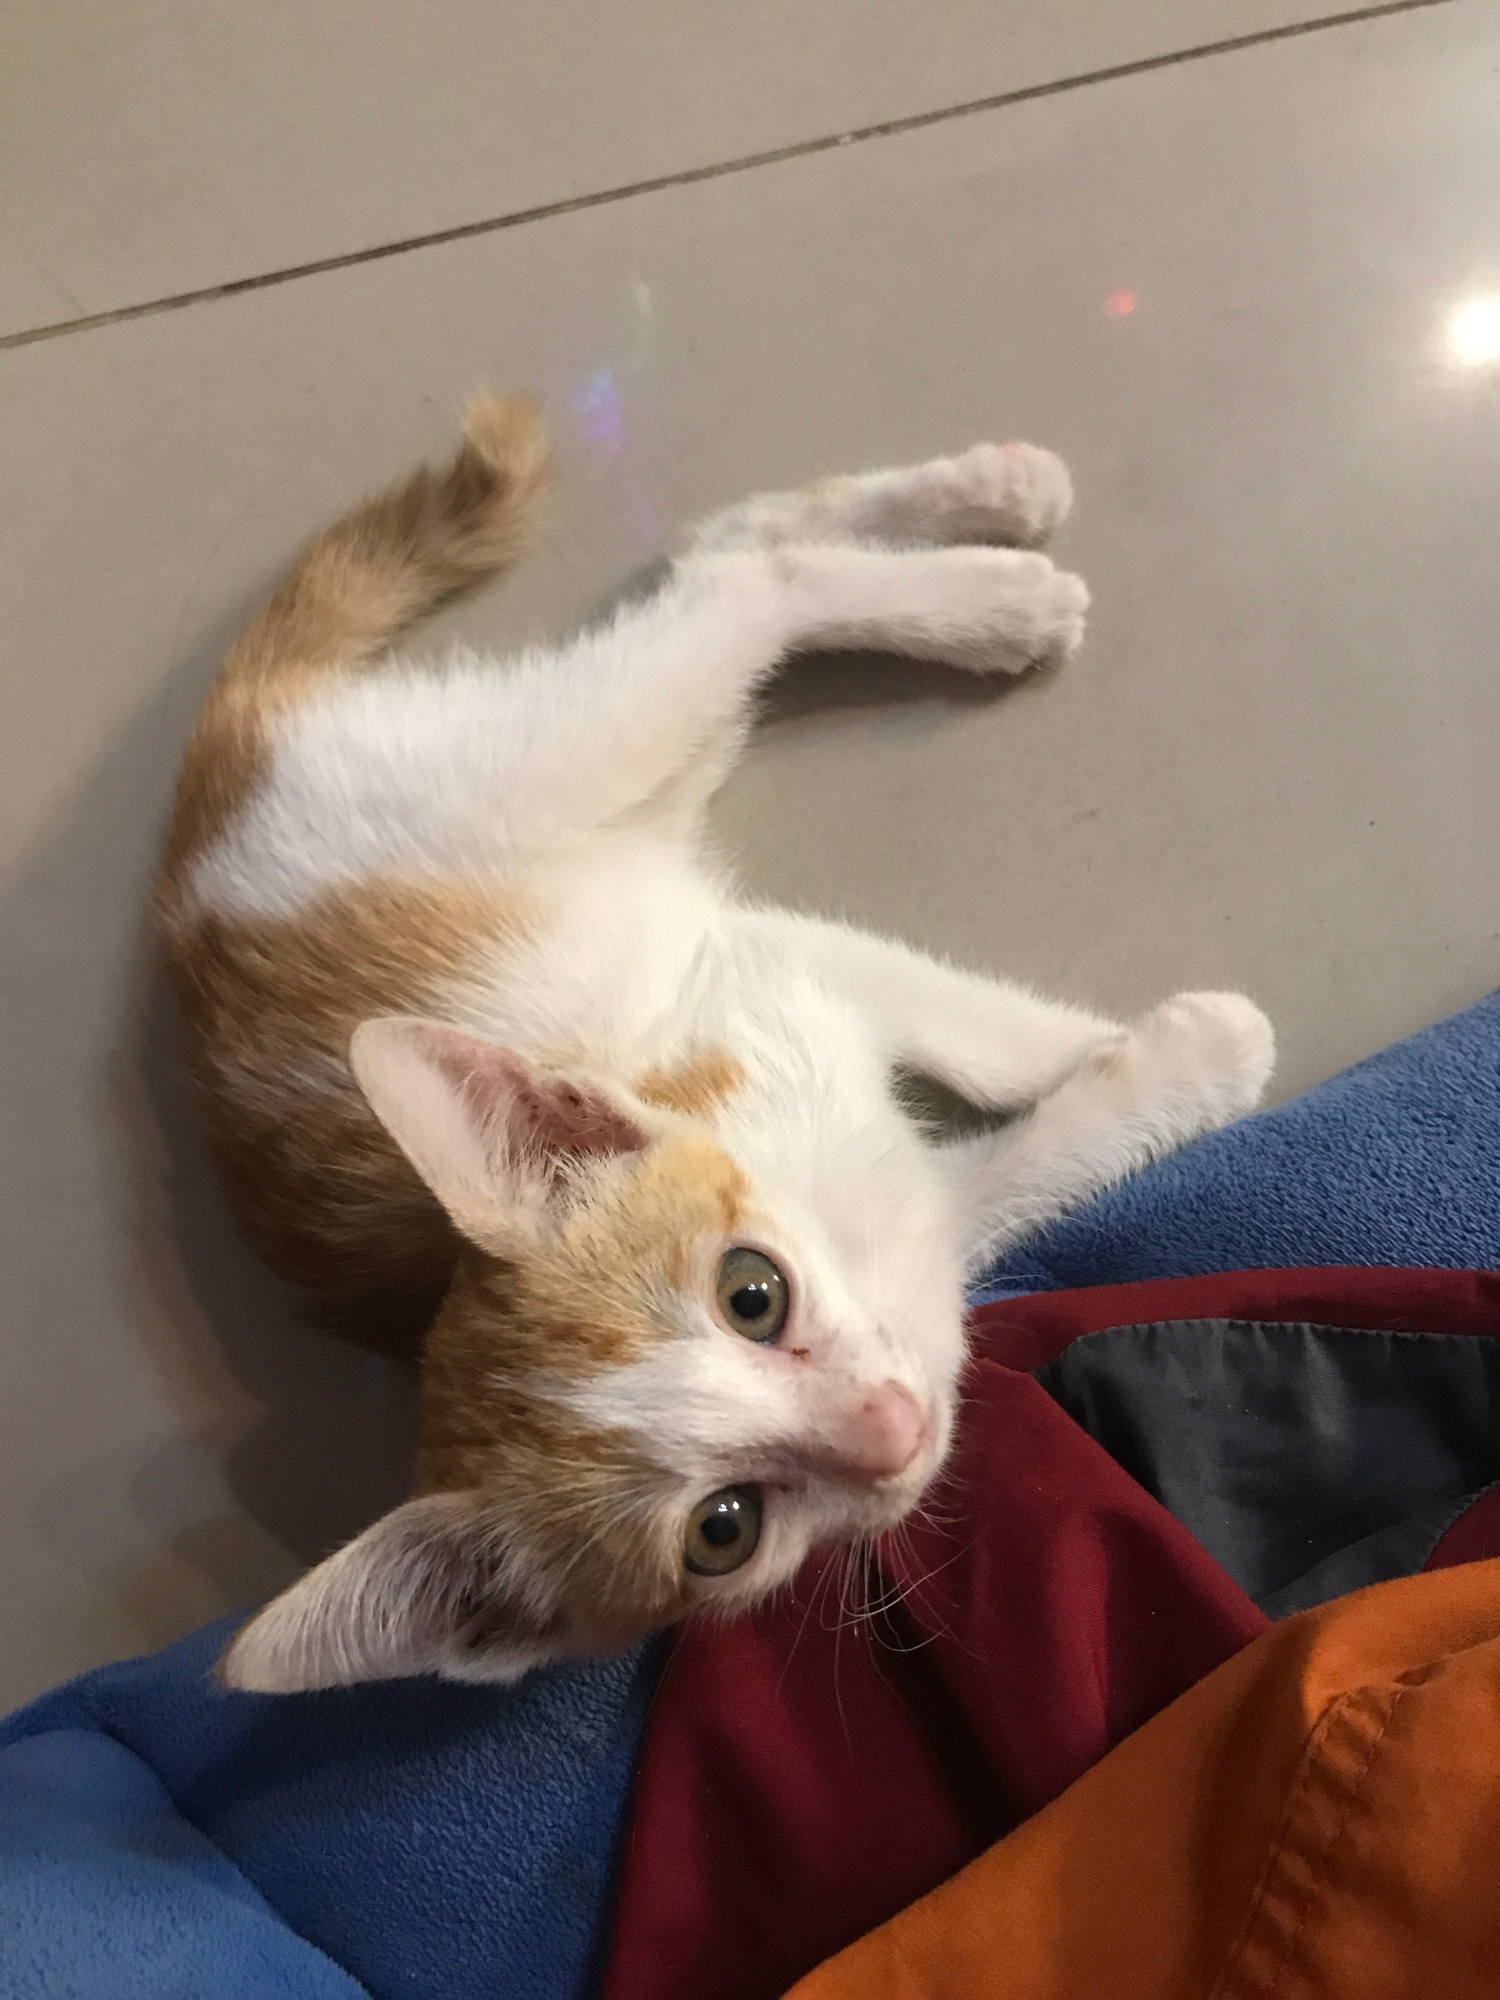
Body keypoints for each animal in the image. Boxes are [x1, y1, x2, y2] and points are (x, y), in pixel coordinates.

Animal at [156, 396, 1273, 1691]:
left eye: (752, 1293)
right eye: (722, 1529)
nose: (890, 1431)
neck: (812, 1196)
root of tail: (200, 829)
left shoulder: (763, 969)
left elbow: (961, 1024)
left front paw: (1123, 1041)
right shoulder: (919, 1247)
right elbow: (1021, 1176)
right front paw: (1166, 1062)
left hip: (561, 761)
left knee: (738, 577)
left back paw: (992, 572)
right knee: (718, 558)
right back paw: (987, 538)